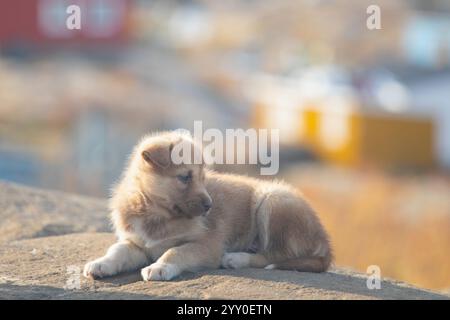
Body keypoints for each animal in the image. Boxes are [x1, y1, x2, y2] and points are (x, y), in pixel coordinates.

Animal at [83, 131, 330, 282]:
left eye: (203, 178)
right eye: (185, 177)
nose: (210, 206)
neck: (157, 215)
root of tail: (325, 240)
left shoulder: (207, 244)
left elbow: (176, 251)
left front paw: (160, 267)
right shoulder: (136, 243)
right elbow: (118, 250)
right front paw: (101, 263)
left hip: (272, 201)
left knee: (275, 255)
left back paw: (235, 258)